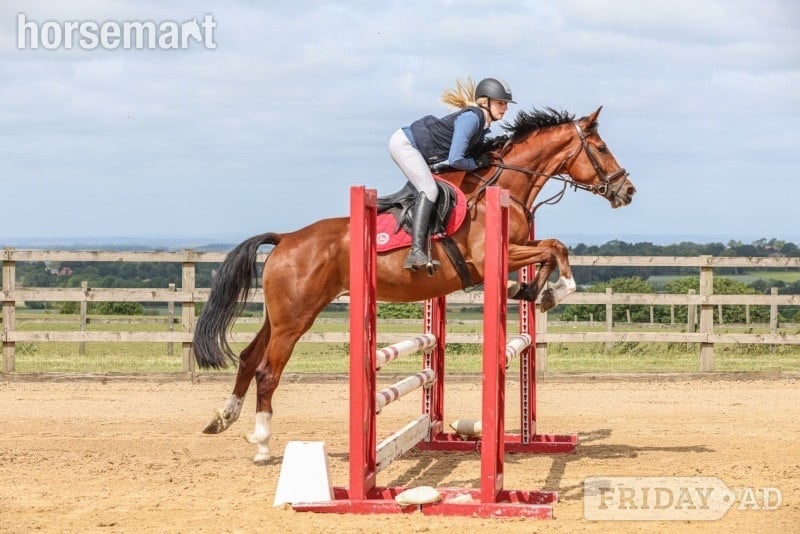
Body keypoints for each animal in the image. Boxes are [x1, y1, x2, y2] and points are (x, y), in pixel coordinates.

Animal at [193, 106, 635, 463]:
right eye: (600, 147)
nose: (626, 191)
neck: (505, 187)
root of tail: (286, 238)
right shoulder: (492, 258)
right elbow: (555, 249)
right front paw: (554, 292)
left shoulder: (518, 249)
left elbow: (550, 249)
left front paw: (532, 292)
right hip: (296, 317)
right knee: (267, 371)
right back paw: (263, 443)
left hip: (281, 314)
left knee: (248, 358)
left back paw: (222, 419)